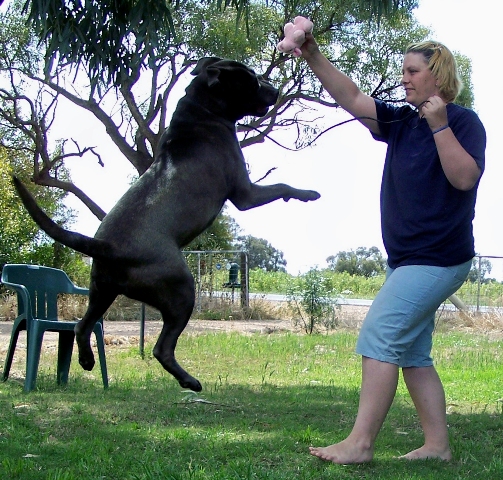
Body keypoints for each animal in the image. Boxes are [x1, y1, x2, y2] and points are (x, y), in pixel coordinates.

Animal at [14, 57, 322, 390]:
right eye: (251, 80)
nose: (275, 90)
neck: (202, 112)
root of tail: (106, 245)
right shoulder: (245, 192)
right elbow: (281, 185)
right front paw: (308, 194)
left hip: (101, 291)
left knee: (81, 327)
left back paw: (86, 360)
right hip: (181, 290)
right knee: (161, 348)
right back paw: (190, 381)